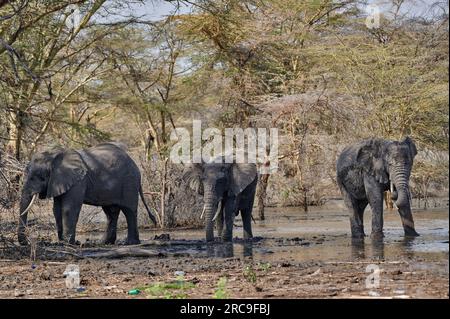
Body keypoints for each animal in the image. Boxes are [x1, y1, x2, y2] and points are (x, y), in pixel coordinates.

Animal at [17, 144, 156, 246]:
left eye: (36, 177)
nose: (25, 243)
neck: (55, 156)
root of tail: (135, 166)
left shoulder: (78, 181)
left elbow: (69, 208)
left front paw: (68, 243)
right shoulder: (58, 181)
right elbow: (56, 209)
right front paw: (61, 242)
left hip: (129, 182)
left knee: (129, 210)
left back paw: (129, 243)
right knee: (111, 212)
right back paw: (104, 243)